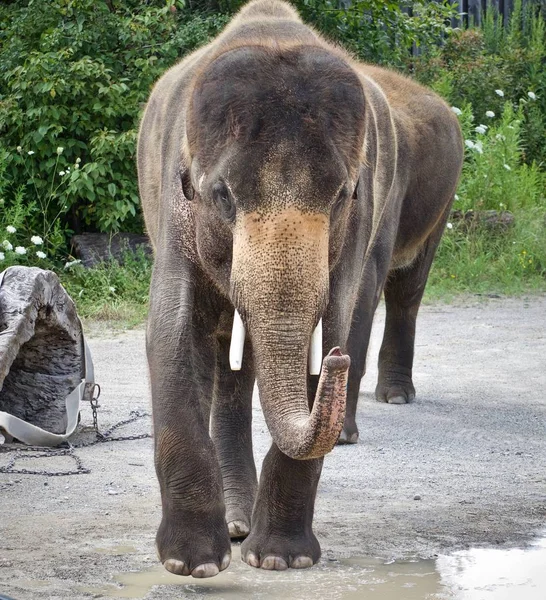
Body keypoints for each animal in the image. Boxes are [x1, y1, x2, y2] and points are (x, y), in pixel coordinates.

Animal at [138, 0, 462, 580]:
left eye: (341, 195)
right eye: (221, 196)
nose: (337, 362)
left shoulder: (364, 213)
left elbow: (335, 323)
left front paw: (280, 559)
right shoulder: (174, 217)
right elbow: (170, 335)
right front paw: (193, 563)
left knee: (405, 291)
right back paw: (234, 526)